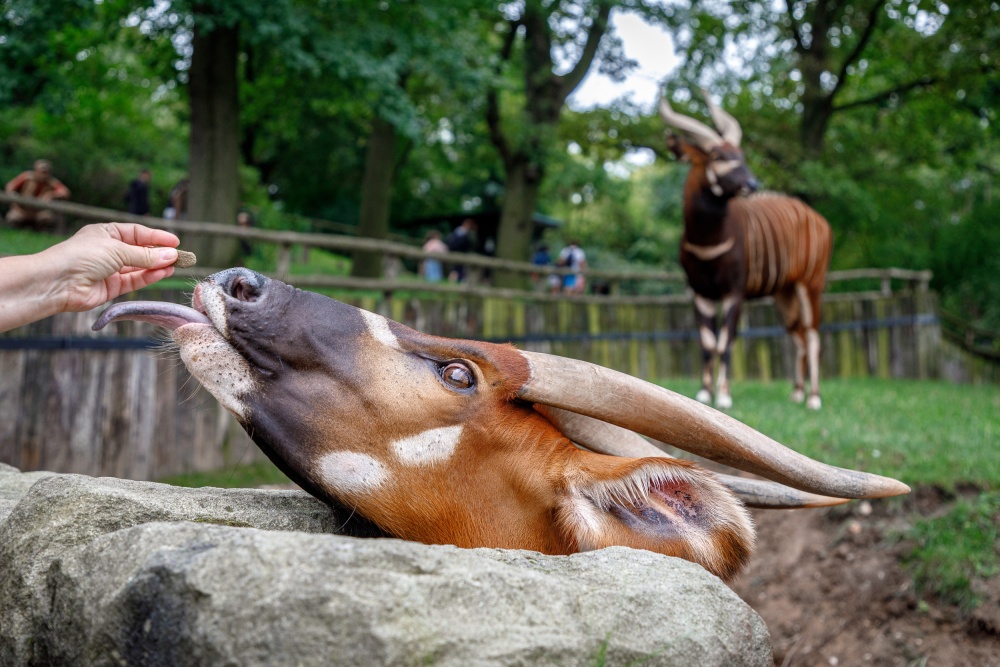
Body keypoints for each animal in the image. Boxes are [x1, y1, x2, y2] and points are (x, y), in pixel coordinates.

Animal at [660, 90, 832, 410]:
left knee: (813, 335)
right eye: (718, 156)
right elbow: (707, 343)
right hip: (784, 293)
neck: (708, 241)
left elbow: (726, 341)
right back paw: (796, 393)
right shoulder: (699, 292)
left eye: (740, 155)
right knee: (798, 336)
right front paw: (704, 393)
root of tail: (818, 218)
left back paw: (814, 398)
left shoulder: (734, 292)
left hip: (811, 283)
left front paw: (724, 395)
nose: (751, 183)